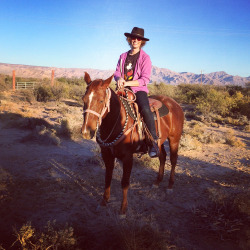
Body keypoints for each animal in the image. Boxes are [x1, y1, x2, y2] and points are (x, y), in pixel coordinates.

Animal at [82, 73, 184, 215]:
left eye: (101, 101)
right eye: (83, 99)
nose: (86, 132)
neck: (117, 122)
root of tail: (175, 104)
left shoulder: (127, 157)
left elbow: (125, 182)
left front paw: (123, 210)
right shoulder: (106, 154)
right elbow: (107, 178)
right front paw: (103, 202)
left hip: (174, 139)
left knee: (173, 160)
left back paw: (170, 185)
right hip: (159, 141)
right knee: (162, 156)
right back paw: (157, 181)